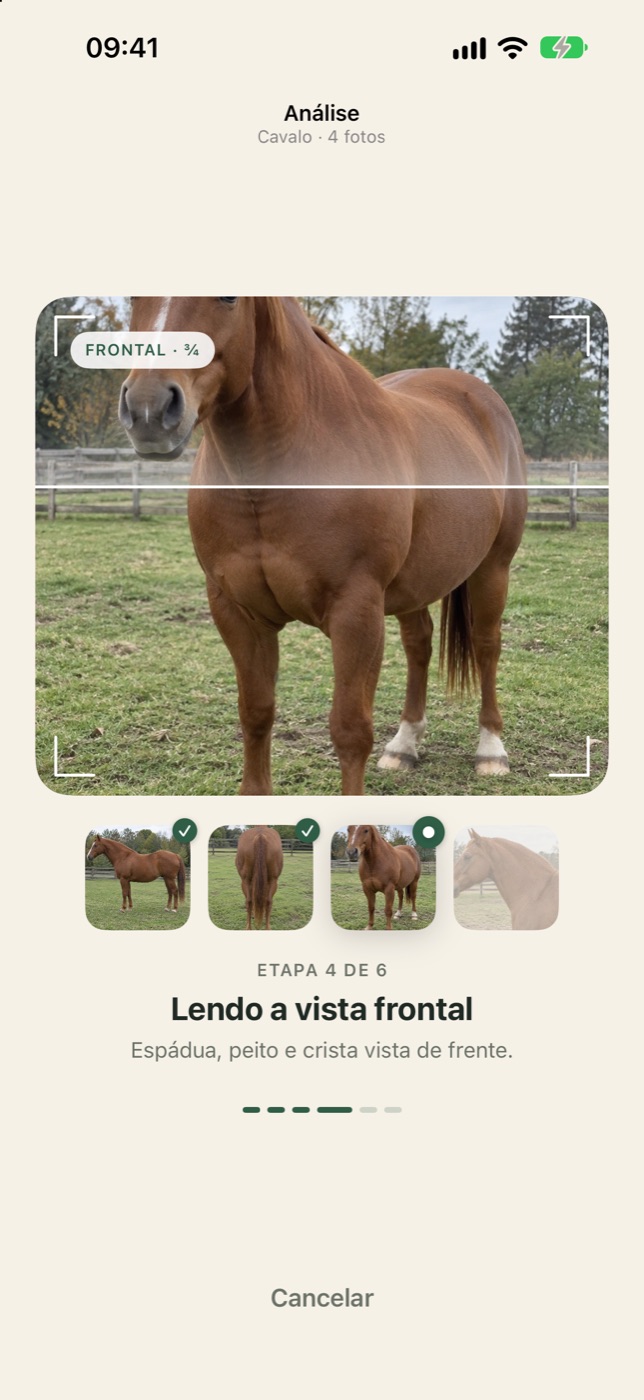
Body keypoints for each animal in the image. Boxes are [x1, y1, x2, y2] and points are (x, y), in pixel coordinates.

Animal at [119, 298, 527, 795]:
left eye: (229, 298)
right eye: (134, 300)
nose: (148, 409)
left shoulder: (356, 614)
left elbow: (350, 730)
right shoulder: (237, 612)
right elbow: (256, 714)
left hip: (493, 568)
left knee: (487, 646)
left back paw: (491, 750)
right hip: (416, 583)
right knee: (419, 645)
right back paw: (404, 745)